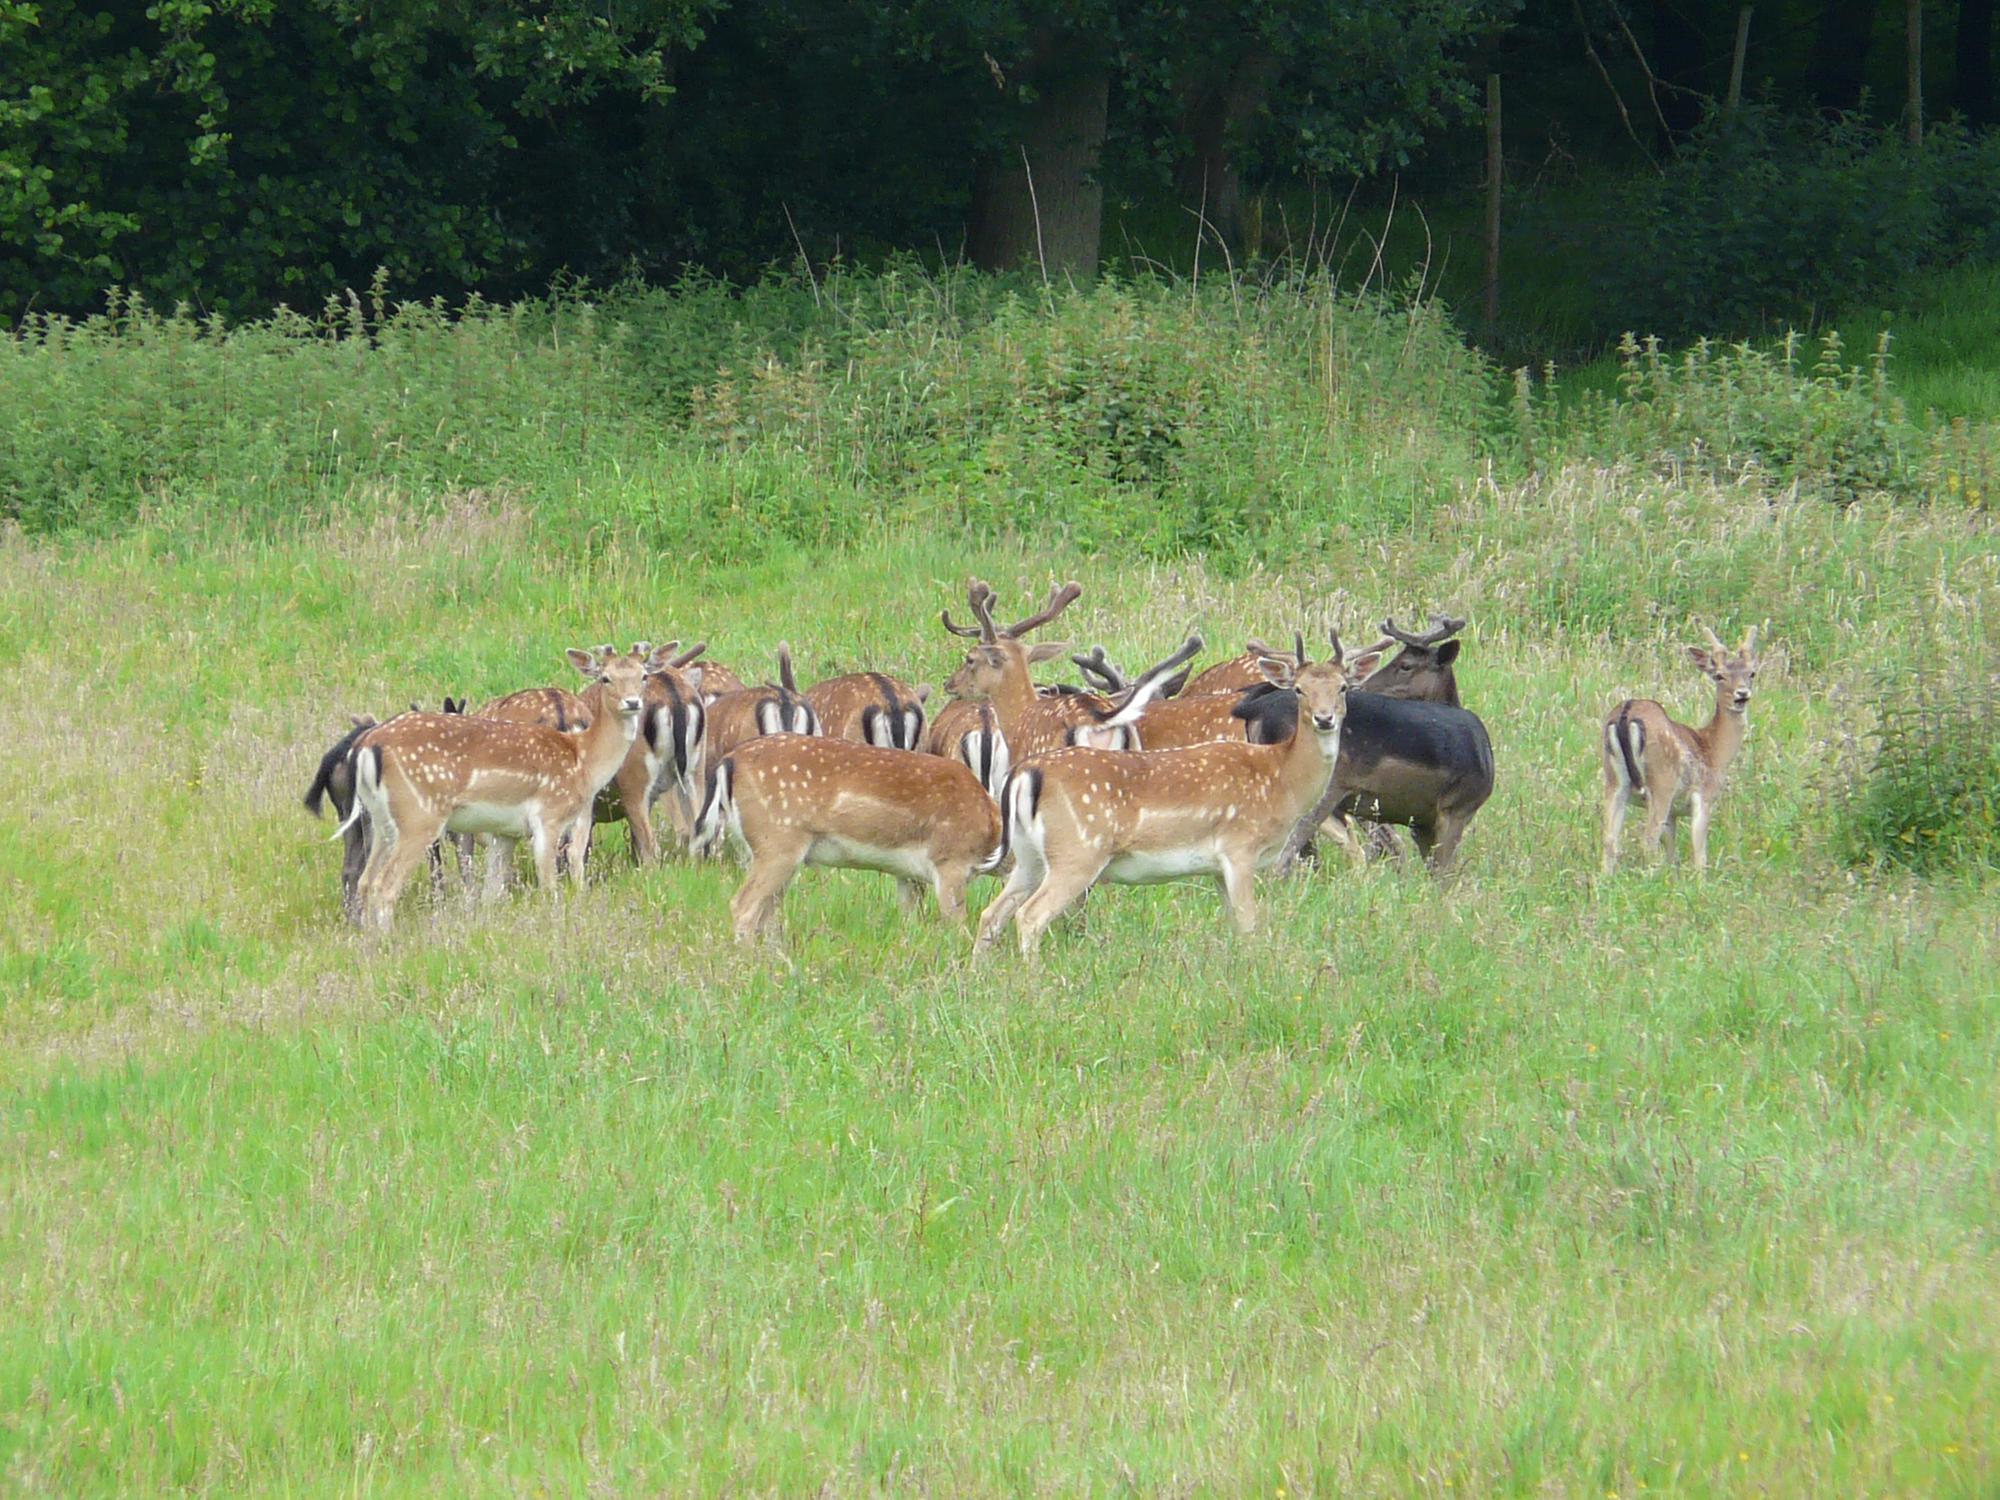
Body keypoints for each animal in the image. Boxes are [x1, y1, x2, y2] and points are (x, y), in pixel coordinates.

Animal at [343, 645, 664, 928]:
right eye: (605, 677)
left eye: (643, 676)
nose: (632, 702)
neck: (583, 758)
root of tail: (367, 747)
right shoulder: (548, 815)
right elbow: (549, 886)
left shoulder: (506, 831)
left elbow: (493, 891)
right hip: (419, 815)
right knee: (385, 886)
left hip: (382, 820)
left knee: (366, 881)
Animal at [975, 631, 1382, 956]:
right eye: (1299, 689)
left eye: (1343, 687)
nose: (1325, 718)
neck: (1281, 779)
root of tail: (1025, 773)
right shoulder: (1239, 847)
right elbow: (1250, 925)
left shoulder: (1217, 867)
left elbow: (1236, 924)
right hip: (1078, 851)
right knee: (1030, 916)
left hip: (1030, 855)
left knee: (992, 913)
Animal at [1602, 624, 1761, 874]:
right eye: (1719, 675)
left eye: (1752, 673)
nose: (1742, 694)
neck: (1714, 751)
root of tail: (1626, 713)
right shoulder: (1704, 796)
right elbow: (1700, 856)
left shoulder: (1674, 814)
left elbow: (1672, 854)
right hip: (1661, 782)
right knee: (1648, 840)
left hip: (1613, 780)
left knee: (1609, 840)